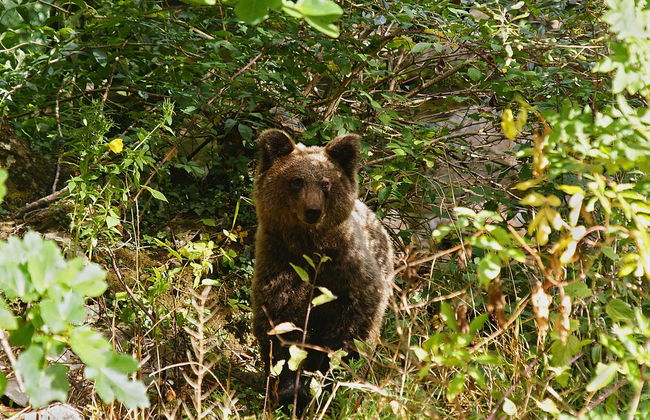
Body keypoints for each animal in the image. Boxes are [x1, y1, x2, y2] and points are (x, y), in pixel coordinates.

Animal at [251, 129, 394, 412]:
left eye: (326, 183)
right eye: (297, 181)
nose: (313, 211)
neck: (309, 244)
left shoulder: (348, 274)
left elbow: (349, 332)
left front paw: (328, 383)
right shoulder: (282, 265)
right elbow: (282, 331)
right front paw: (288, 392)